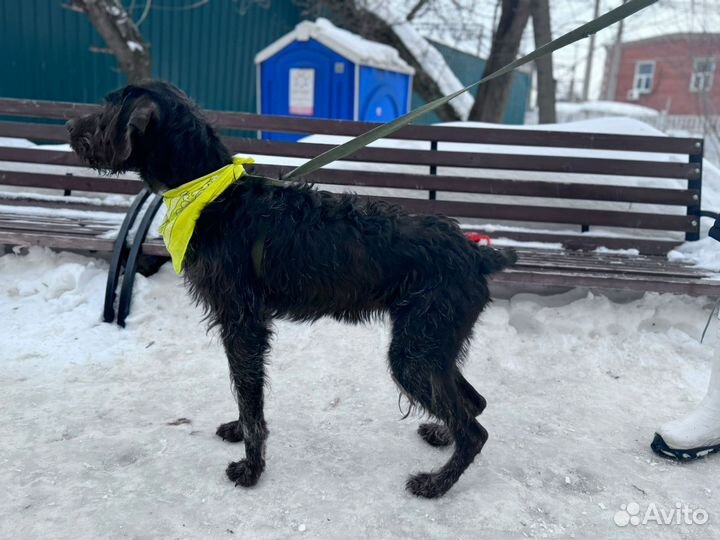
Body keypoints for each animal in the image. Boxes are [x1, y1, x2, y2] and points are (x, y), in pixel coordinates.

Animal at [67, 80, 516, 498]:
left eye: (110, 106)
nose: (70, 127)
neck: (214, 197)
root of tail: (476, 254)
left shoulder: (242, 323)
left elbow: (250, 399)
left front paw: (251, 468)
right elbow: (246, 396)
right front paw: (239, 431)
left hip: (416, 352)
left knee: (475, 430)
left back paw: (436, 483)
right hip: (433, 346)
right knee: (474, 404)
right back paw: (442, 435)